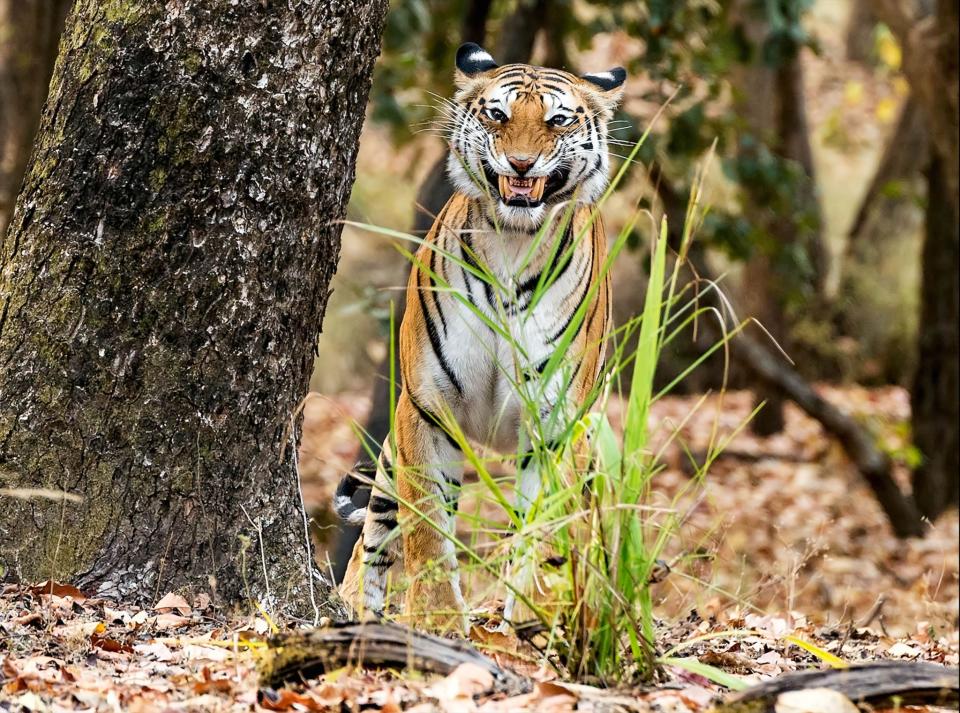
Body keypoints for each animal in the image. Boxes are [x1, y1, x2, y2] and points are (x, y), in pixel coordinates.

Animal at [334, 41, 628, 632]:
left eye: (557, 121)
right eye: (498, 115)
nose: (521, 164)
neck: (513, 242)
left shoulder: (557, 422)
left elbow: (544, 529)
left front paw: (533, 619)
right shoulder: (427, 406)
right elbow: (427, 529)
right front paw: (439, 623)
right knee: (373, 531)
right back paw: (353, 607)